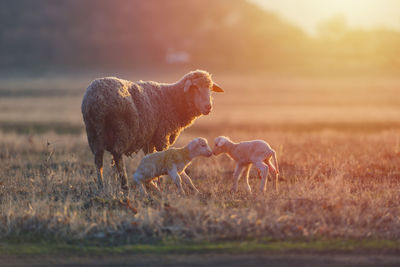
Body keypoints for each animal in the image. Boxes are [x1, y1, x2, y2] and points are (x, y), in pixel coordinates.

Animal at [81, 70, 223, 192]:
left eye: (210, 89)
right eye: (195, 88)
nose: (208, 107)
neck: (172, 99)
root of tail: (94, 100)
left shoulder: (149, 138)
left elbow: (150, 156)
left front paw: (152, 182)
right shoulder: (162, 136)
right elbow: (162, 156)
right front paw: (160, 184)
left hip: (94, 134)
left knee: (98, 161)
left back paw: (101, 187)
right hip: (121, 130)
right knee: (117, 156)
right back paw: (124, 186)